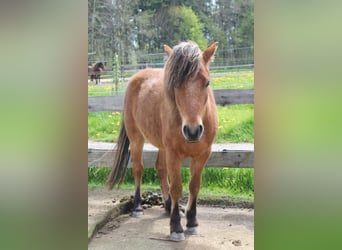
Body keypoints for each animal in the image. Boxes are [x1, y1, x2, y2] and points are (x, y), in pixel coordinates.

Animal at [107, 41, 219, 242]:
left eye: (207, 82)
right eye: (175, 84)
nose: (192, 131)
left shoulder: (202, 155)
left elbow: (194, 187)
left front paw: (192, 222)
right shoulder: (173, 154)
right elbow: (176, 188)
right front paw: (176, 227)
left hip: (162, 146)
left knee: (160, 168)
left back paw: (167, 206)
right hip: (137, 139)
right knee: (138, 169)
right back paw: (138, 207)